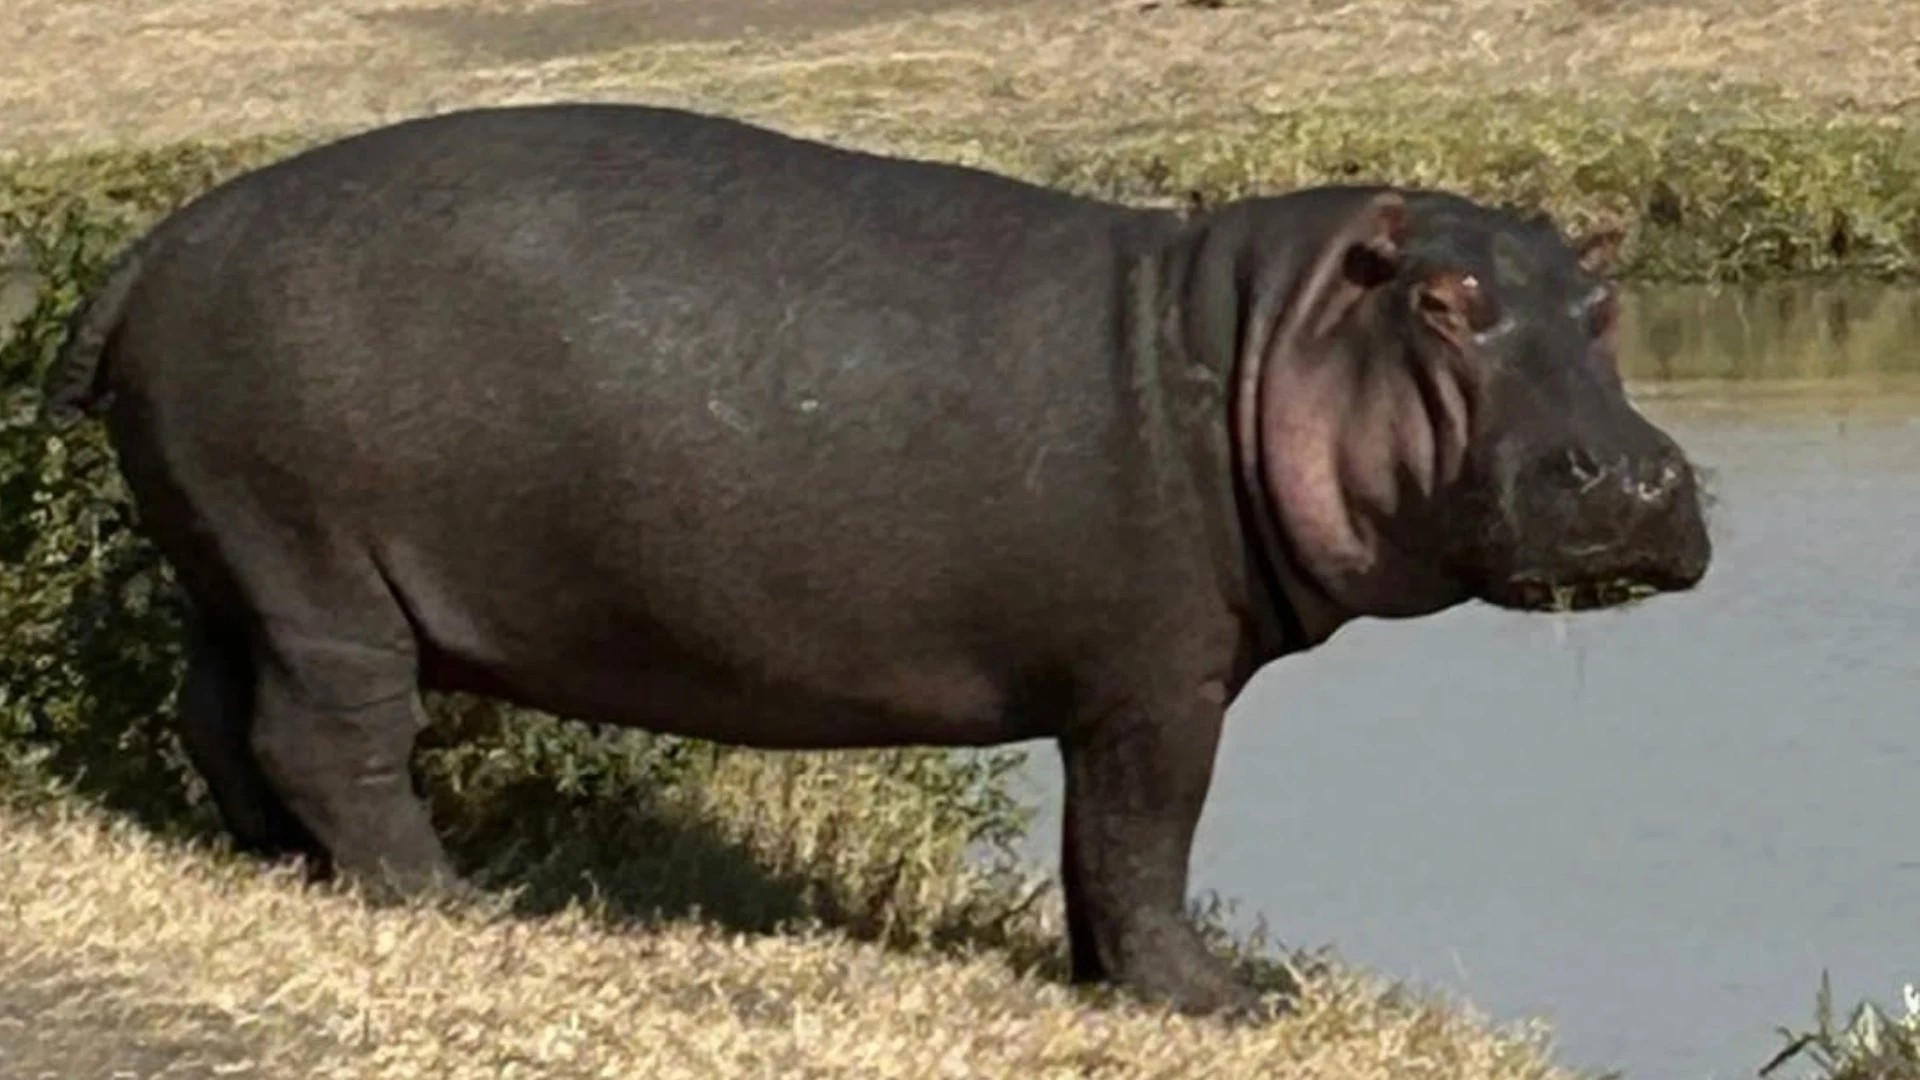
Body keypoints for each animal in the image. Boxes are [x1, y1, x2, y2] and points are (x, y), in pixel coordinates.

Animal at [41, 102, 1711, 1017]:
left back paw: (281, 866)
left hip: (235, 558)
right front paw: (1225, 1004)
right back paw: (451, 899)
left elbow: (1094, 856)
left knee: (217, 714)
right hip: (323, 575)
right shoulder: (1158, 684)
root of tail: (153, 244)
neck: (1250, 338)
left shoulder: (1118, 694)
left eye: (1605, 299)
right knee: (331, 735)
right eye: (1442, 303)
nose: (1638, 473)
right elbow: (1145, 838)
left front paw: (1106, 982)